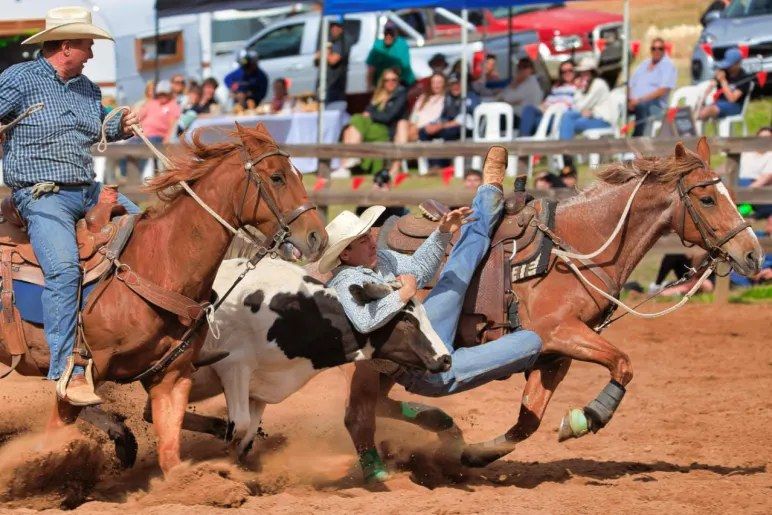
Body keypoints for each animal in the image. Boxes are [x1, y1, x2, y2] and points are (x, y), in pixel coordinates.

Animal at [0, 123, 326, 474]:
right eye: (277, 177)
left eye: (299, 174)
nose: (317, 238)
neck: (160, 263)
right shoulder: (80, 376)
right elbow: (58, 427)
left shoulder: (170, 377)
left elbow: (171, 455)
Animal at [346, 138, 764, 476]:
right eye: (707, 199)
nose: (753, 254)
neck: (578, 246)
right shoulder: (559, 332)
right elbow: (623, 364)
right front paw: (590, 416)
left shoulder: (553, 355)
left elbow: (527, 421)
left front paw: (477, 453)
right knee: (358, 414)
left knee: (376, 406)